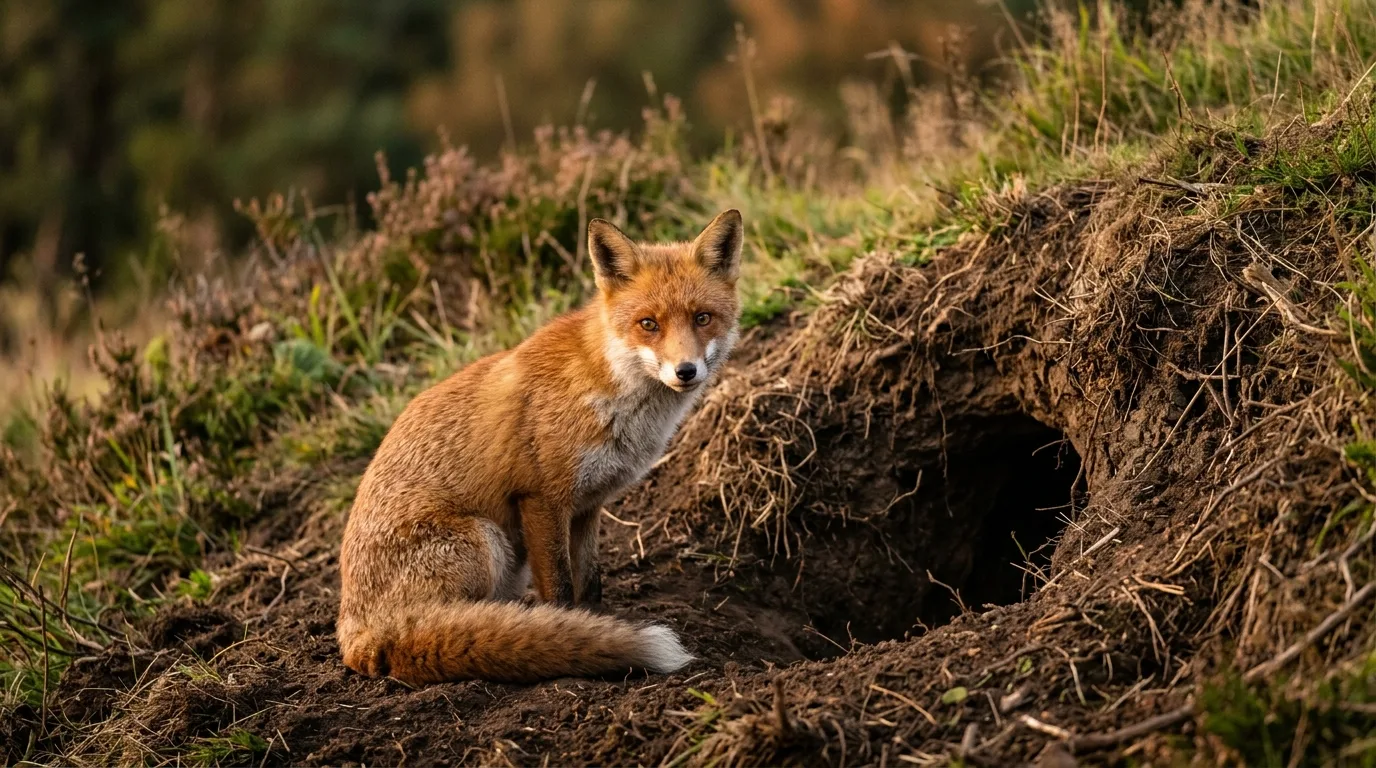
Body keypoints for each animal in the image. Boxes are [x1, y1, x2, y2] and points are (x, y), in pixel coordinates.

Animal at [336, 210, 744, 685]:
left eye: (702, 318)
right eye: (649, 324)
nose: (686, 371)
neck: (608, 391)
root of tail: (356, 633)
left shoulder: (588, 504)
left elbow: (590, 584)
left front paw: (592, 627)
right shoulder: (541, 499)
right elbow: (561, 589)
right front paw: (569, 634)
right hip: (485, 541)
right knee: (438, 628)